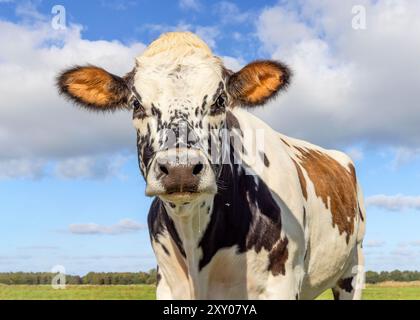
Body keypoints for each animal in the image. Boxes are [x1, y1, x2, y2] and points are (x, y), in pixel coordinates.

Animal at [55, 31, 364, 298]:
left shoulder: (281, 284)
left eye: (220, 100)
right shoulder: (168, 286)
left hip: (353, 269)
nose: (180, 169)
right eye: (135, 104)